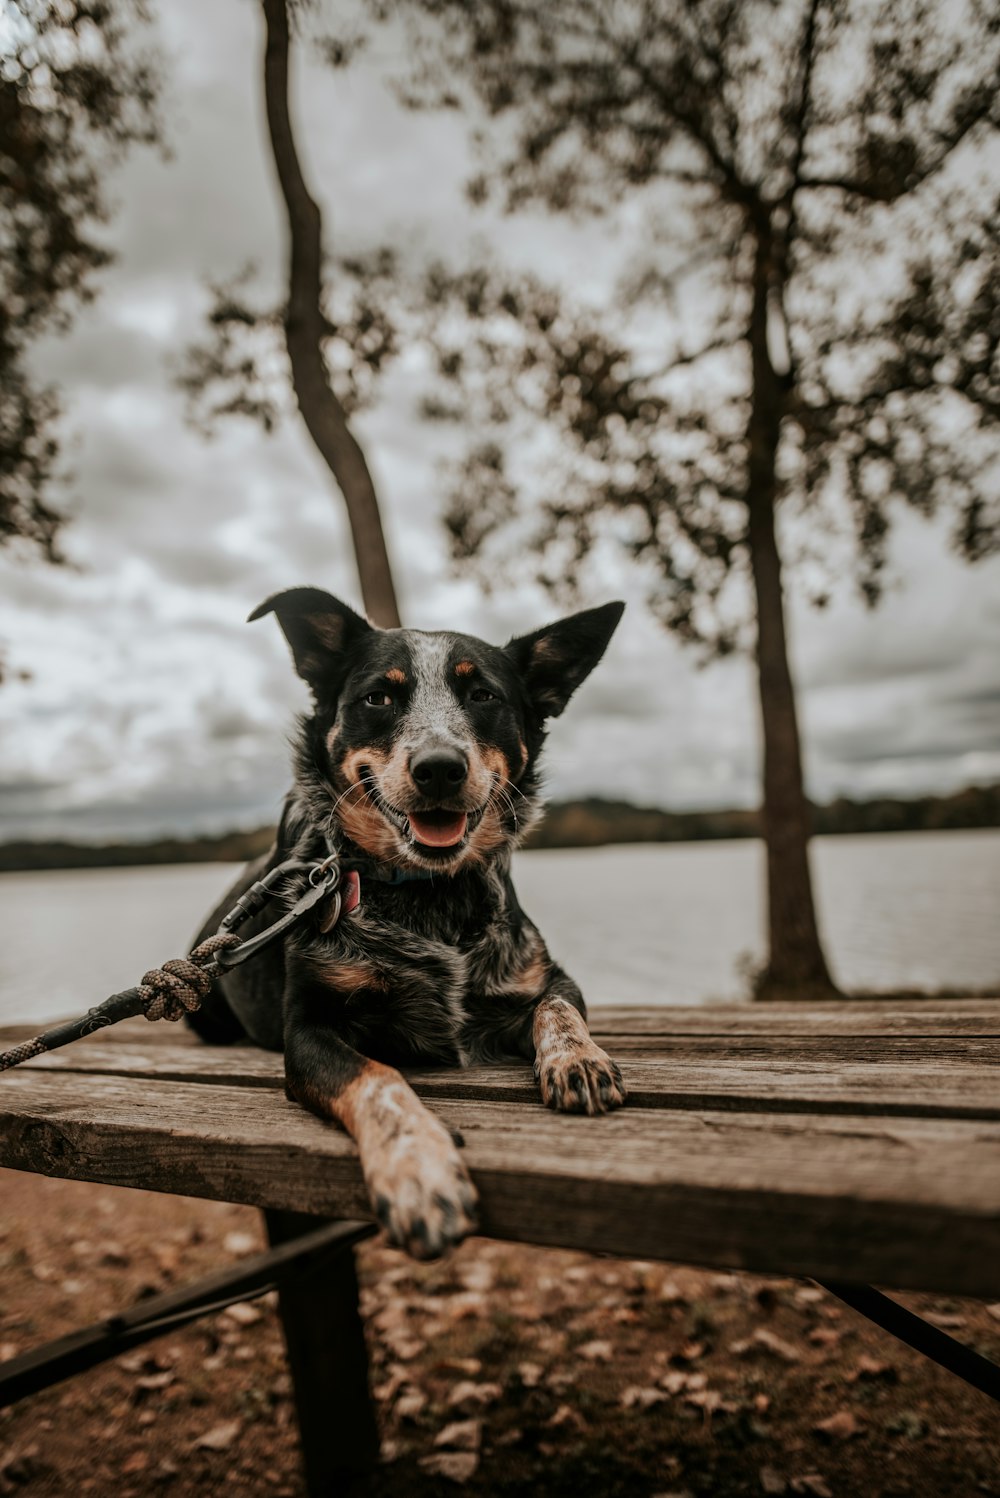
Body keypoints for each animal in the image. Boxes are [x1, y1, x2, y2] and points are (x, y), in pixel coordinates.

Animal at [189, 584, 625, 1252]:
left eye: (482, 695)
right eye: (379, 697)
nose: (439, 767)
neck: (427, 894)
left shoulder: (544, 977)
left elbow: (557, 1009)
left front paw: (578, 1059)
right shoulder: (309, 1030)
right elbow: (377, 1078)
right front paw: (420, 1169)